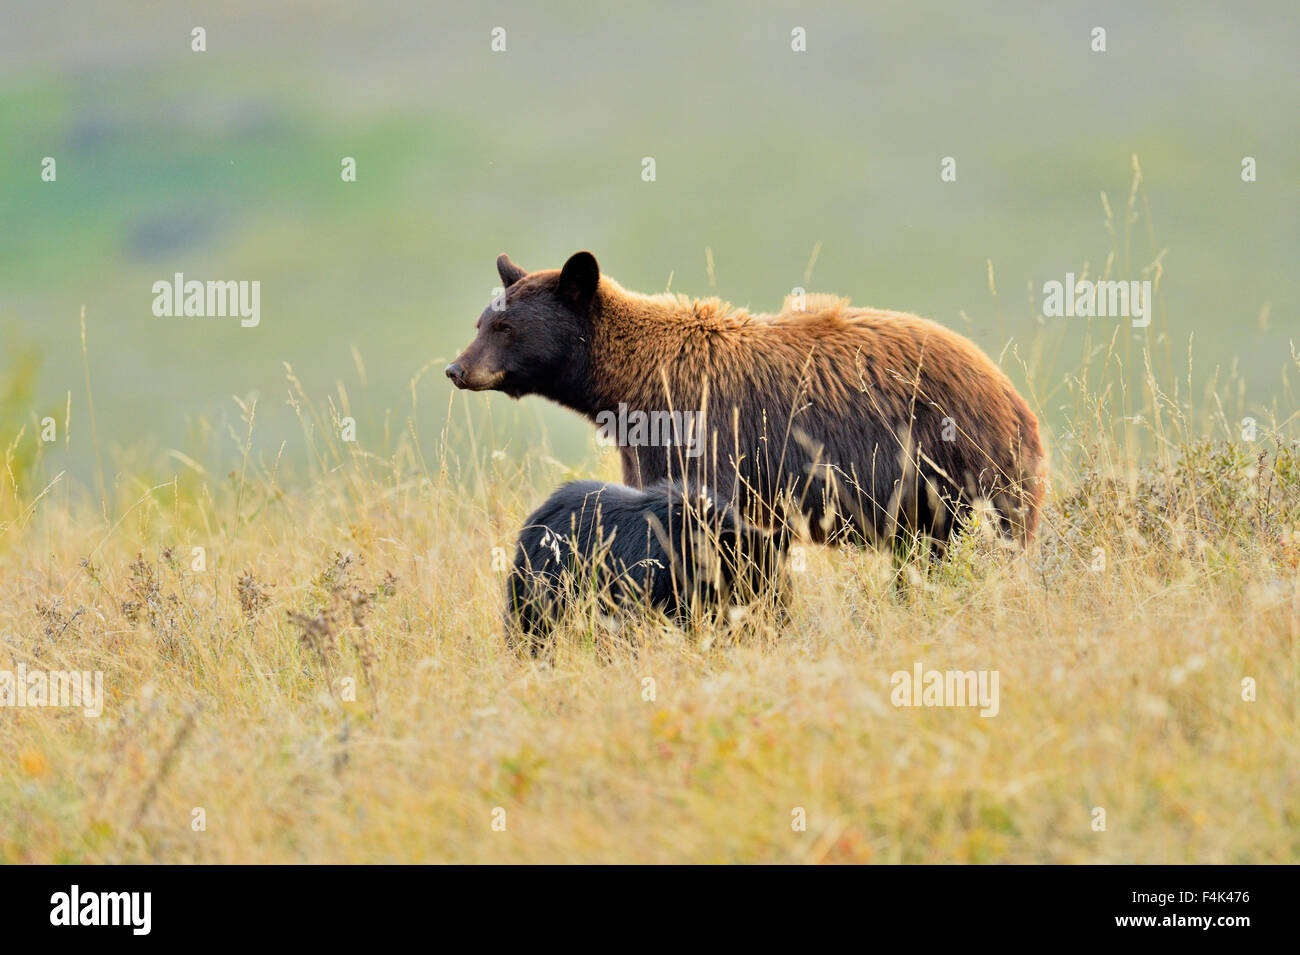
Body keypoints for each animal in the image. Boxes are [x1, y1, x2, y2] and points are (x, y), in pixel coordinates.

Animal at [447, 250, 1045, 556]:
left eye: (505, 327)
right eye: (480, 322)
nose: (457, 369)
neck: (630, 384)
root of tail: (1010, 393)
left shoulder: (700, 432)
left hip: (963, 464)